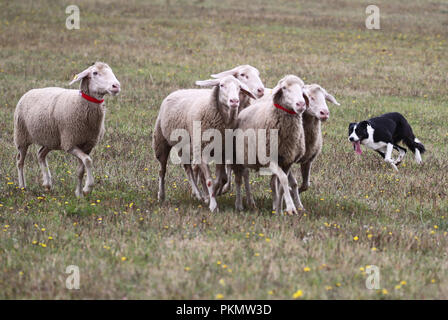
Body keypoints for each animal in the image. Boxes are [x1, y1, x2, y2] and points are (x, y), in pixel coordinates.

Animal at [13, 60, 121, 195]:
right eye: (95, 73)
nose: (116, 86)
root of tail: (29, 92)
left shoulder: (87, 145)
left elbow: (81, 170)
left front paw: (79, 194)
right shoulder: (70, 143)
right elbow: (88, 161)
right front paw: (87, 187)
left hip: (51, 139)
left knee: (40, 154)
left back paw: (47, 184)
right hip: (21, 136)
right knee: (20, 161)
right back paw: (23, 186)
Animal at [151, 74, 254, 211]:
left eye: (239, 87)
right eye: (221, 85)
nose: (234, 101)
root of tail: (177, 91)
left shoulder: (221, 152)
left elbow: (220, 179)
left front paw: (212, 195)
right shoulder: (201, 151)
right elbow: (209, 180)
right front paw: (213, 205)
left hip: (183, 147)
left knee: (188, 169)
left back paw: (199, 194)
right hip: (161, 141)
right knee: (162, 171)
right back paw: (161, 195)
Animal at [231, 75, 308, 215]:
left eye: (302, 87)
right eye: (284, 88)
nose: (301, 104)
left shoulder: (287, 161)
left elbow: (281, 185)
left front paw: (279, 210)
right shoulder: (269, 158)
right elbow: (283, 179)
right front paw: (290, 208)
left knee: (248, 175)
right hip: (237, 157)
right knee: (239, 179)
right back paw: (239, 205)